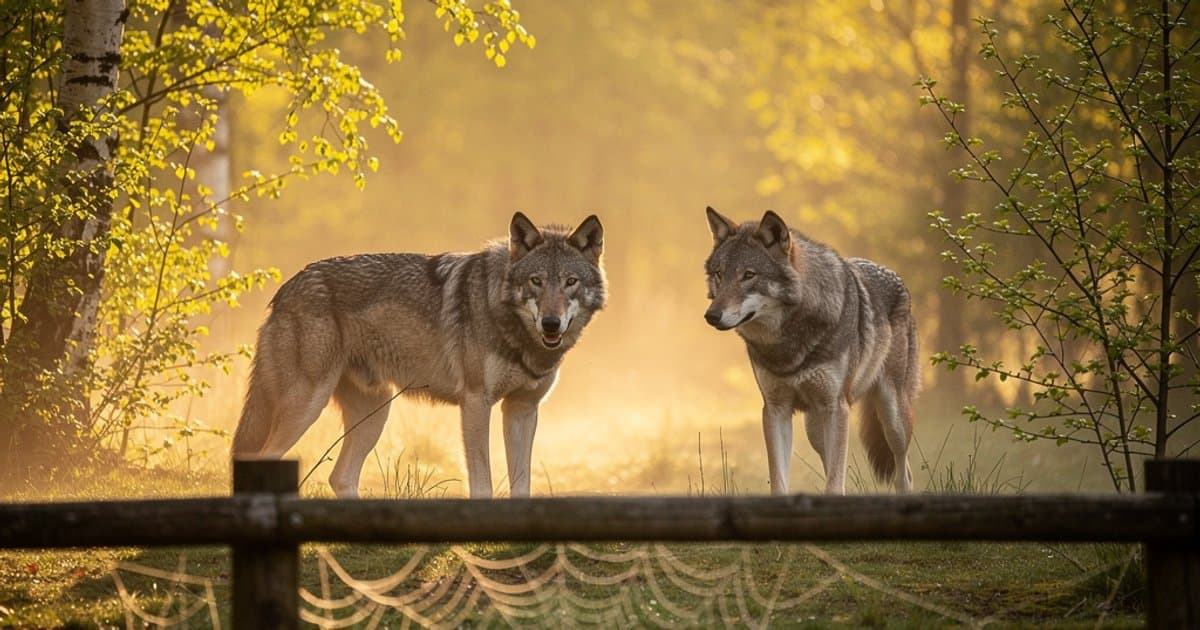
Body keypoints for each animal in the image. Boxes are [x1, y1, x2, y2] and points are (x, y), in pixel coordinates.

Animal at [232, 212, 606, 498]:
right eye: (536, 281)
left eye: (570, 281)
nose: (551, 323)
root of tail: (283, 290)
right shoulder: (476, 402)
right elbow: (482, 480)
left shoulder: (522, 409)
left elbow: (522, 483)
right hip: (307, 405)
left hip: (373, 415)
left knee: (340, 477)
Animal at [703, 207, 918, 495]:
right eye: (719, 274)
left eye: (749, 275)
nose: (711, 316)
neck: (789, 344)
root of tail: (896, 276)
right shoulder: (776, 410)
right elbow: (780, 481)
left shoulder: (836, 408)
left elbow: (834, 485)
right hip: (816, 429)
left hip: (892, 419)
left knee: (903, 471)